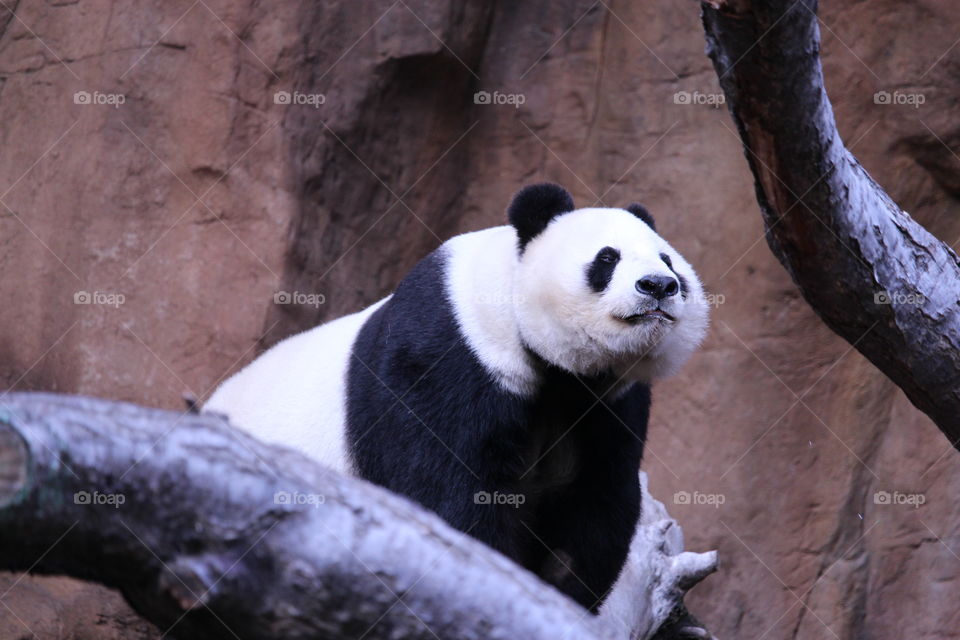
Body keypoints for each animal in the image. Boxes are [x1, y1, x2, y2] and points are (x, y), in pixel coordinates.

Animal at [205, 183, 709, 611]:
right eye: (607, 258)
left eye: (668, 261)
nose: (658, 286)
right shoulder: (448, 355)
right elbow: (448, 493)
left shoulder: (609, 401)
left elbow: (594, 500)